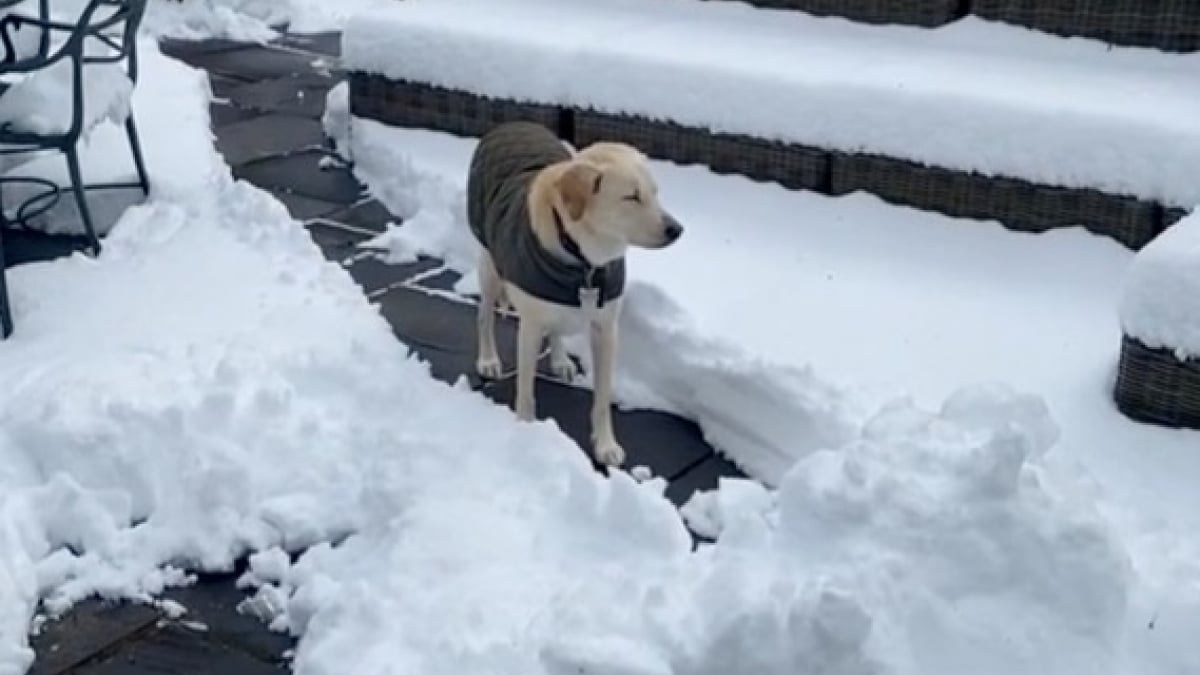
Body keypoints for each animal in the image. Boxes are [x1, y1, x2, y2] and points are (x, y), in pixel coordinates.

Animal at [463, 120, 681, 466]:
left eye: (655, 193)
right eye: (631, 197)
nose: (677, 230)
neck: (584, 258)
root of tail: (513, 123)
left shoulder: (606, 329)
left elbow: (602, 399)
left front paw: (605, 445)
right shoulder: (530, 327)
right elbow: (525, 390)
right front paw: (526, 432)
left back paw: (561, 357)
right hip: (489, 264)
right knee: (484, 315)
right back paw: (488, 359)